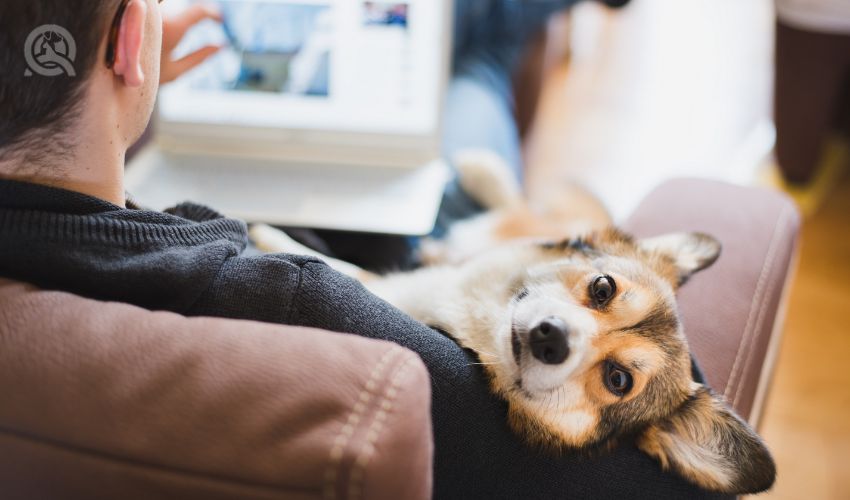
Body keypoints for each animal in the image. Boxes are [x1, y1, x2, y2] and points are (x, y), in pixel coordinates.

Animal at [247, 150, 776, 494]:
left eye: (618, 380)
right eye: (603, 288)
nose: (551, 338)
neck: (475, 316)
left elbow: (342, 269)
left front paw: (268, 239)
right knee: (510, 213)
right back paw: (483, 171)